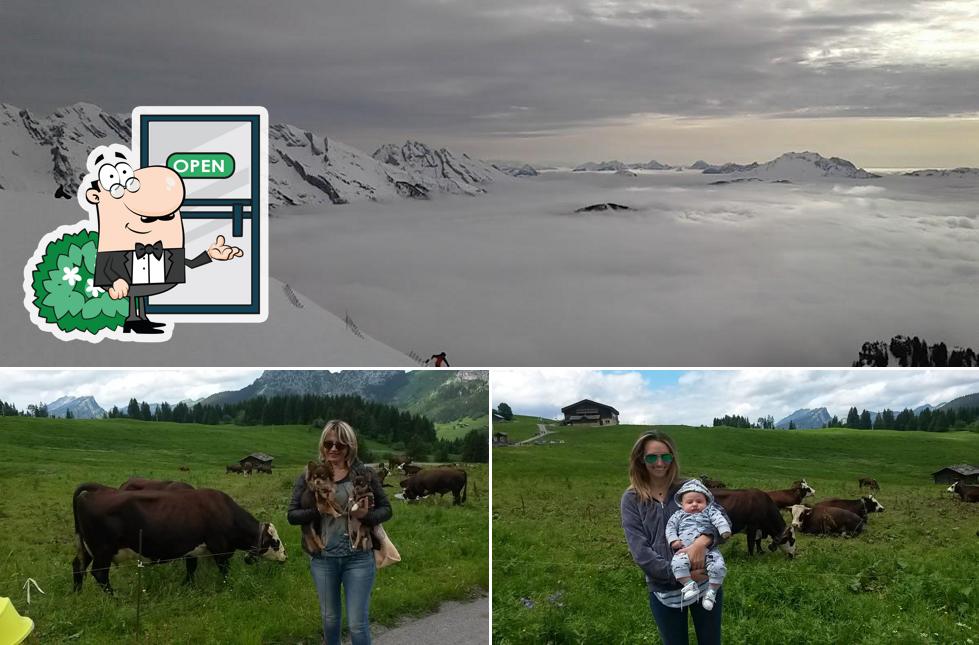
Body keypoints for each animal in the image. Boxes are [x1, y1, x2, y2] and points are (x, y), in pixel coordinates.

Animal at [72, 480, 288, 592]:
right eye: (275, 542)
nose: (286, 557)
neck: (226, 512)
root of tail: (97, 489)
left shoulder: (192, 550)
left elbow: (191, 569)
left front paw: (187, 586)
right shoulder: (220, 548)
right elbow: (224, 570)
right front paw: (228, 587)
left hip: (87, 548)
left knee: (78, 566)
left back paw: (77, 593)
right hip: (103, 550)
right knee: (100, 574)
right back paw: (114, 599)